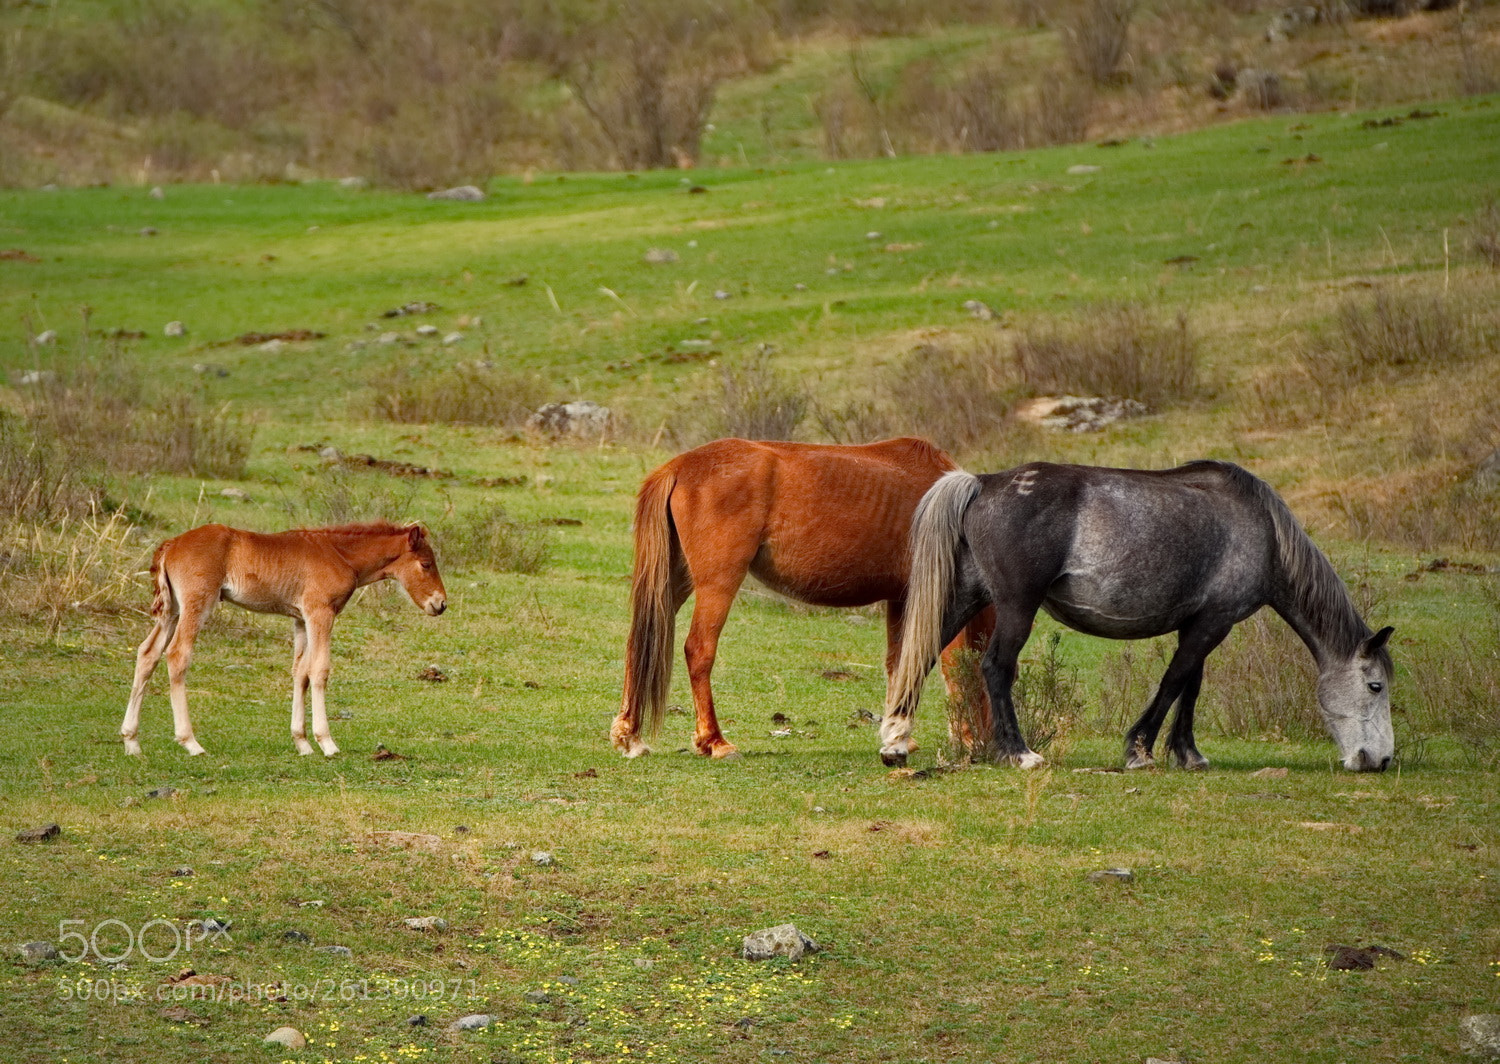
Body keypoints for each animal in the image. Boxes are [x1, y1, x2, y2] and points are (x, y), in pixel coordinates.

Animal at [121, 521, 446, 757]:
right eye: (426, 564)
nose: (441, 604)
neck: (340, 553)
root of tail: (171, 544)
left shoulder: (300, 619)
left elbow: (300, 673)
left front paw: (302, 743)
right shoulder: (320, 613)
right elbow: (319, 670)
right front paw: (326, 743)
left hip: (172, 610)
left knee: (147, 654)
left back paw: (131, 742)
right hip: (197, 604)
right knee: (177, 655)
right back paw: (191, 742)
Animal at [610, 437, 996, 759]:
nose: (988, 741)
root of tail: (678, 467)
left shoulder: (901, 599)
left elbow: (900, 664)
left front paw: (899, 736)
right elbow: (950, 664)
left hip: (673, 583)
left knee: (639, 642)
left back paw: (630, 736)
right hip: (717, 584)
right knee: (699, 650)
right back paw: (715, 742)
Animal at [879, 461, 1395, 773]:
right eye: (1375, 686)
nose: (1382, 760)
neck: (1261, 528)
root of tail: (983, 481)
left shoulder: (1202, 623)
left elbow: (1191, 685)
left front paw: (1187, 753)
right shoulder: (1215, 622)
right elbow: (1174, 682)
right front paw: (1140, 750)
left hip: (965, 598)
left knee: (918, 658)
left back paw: (895, 743)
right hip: (1015, 608)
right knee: (996, 668)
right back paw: (1019, 753)